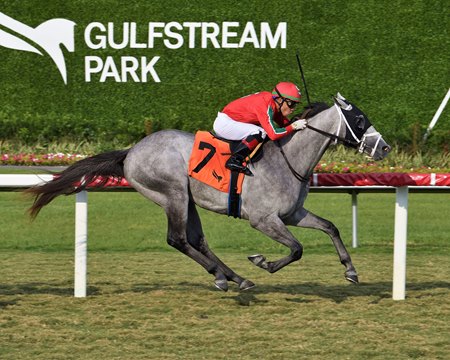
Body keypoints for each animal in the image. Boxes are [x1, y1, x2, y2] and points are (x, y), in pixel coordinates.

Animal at [27, 93, 390, 292]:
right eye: (359, 120)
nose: (385, 148)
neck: (288, 159)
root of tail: (131, 152)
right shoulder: (263, 219)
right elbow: (297, 249)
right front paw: (264, 262)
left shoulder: (292, 214)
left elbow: (330, 227)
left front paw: (351, 270)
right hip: (172, 194)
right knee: (177, 239)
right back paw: (225, 276)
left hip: (188, 200)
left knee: (197, 241)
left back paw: (234, 278)